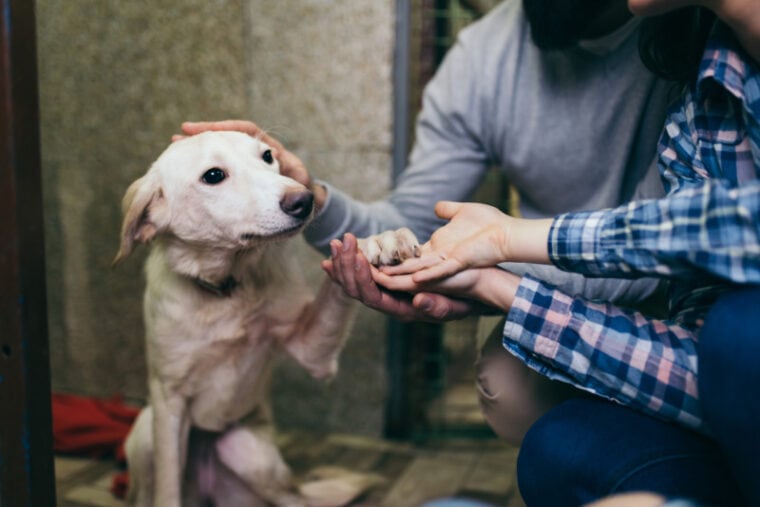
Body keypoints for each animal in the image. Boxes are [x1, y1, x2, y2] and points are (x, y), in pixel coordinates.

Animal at [115, 132, 418, 507]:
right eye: (213, 175)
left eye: (268, 156)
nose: (304, 200)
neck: (227, 289)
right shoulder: (169, 401)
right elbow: (168, 490)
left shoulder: (312, 351)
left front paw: (376, 241)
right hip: (146, 431)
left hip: (249, 453)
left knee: (296, 500)